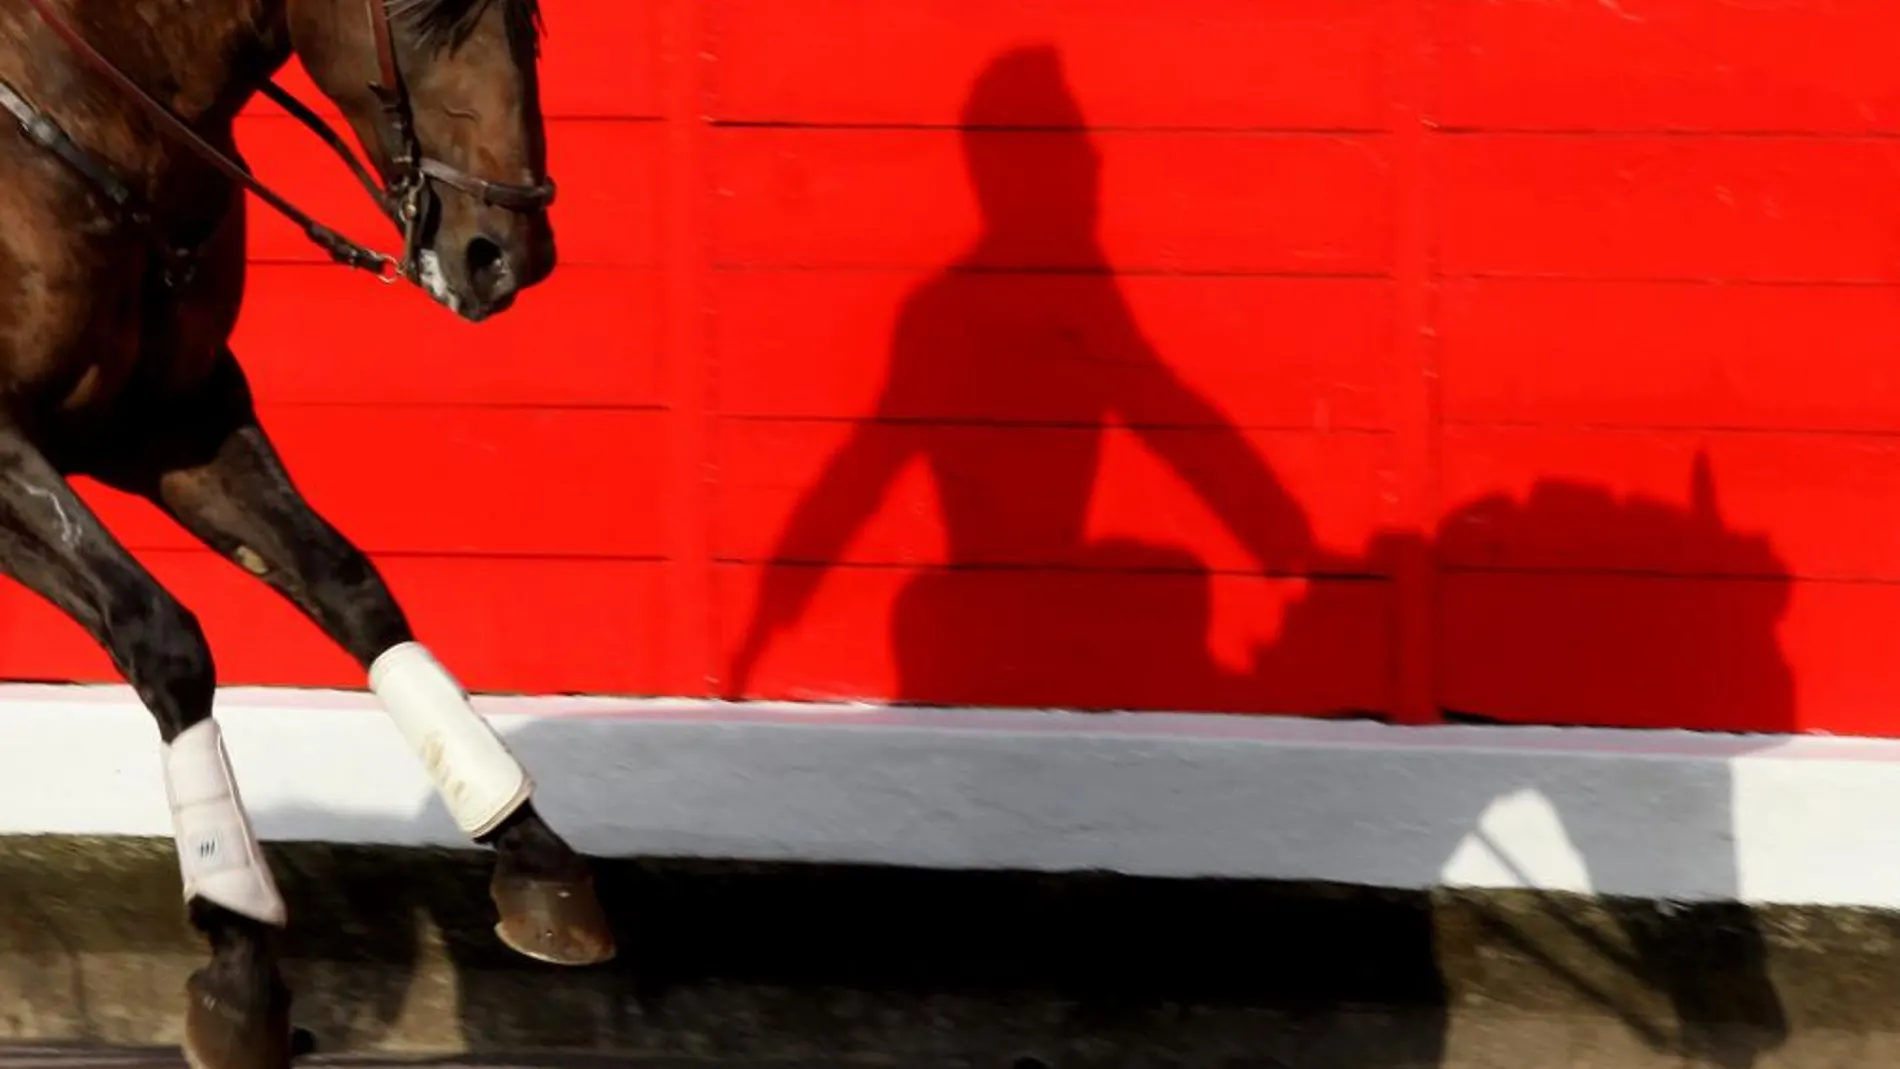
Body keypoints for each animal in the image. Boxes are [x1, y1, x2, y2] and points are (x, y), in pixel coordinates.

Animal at [0, 0, 608, 1063]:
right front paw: (240, 953)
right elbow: (163, 635)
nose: (509, 256)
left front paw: (535, 856)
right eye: (419, 13)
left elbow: (348, 585)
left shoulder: (175, 421)